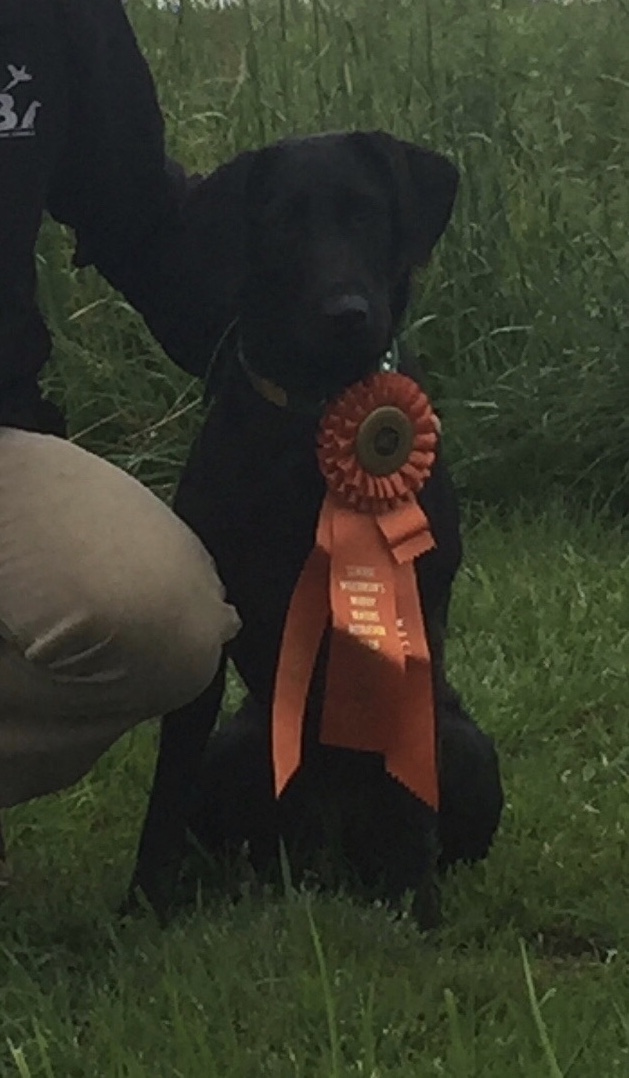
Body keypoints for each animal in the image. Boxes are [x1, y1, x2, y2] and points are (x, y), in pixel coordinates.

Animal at [130, 130, 504, 922]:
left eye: (367, 214)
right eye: (280, 224)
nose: (347, 312)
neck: (315, 415)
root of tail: (327, 849)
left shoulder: (417, 614)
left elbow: (410, 795)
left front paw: (415, 904)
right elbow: (168, 785)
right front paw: (145, 900)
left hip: (466, 744)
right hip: (239, 747)